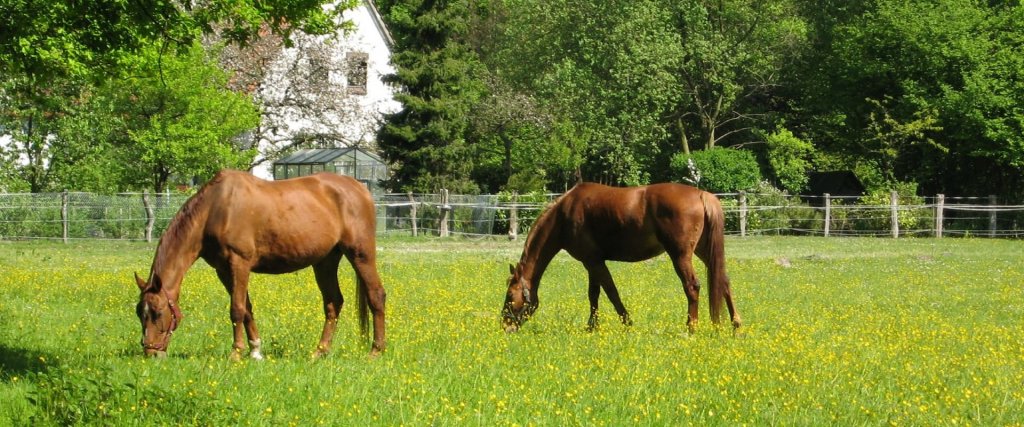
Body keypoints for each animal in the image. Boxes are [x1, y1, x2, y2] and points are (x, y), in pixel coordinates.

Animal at [134, 170, 386, 359]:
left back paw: (376, 351)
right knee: (333, 303)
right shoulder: (223, 270)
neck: (215, 209)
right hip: (325, 261)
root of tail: (360, 188)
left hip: (360, 254)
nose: (151, 353)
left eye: (157, 312)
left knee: (376, 295)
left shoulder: (239, 264)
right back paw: (319, 352)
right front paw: (255, 351)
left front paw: (236, 353)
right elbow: (247, 309)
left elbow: (236, 309)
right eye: (139, 312)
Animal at [501, 182, 741, 334]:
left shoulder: (593, 261)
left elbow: (610, 293)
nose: (505, 326)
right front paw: (591, 326)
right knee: (724, 280)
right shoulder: (592, 262)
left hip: (680, 255)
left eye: (511, 296)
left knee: (692, 286)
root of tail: (702, 195)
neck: (564, 215)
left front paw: (627, 323)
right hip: (704, 251)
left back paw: (691, 328)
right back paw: (736, 325)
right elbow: (594, 295)